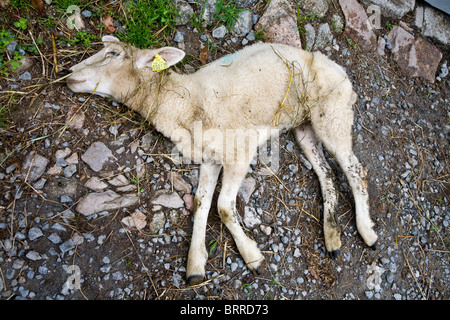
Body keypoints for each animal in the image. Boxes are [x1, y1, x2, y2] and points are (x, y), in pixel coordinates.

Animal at [67, 36, 376, 286]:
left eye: (113, 53)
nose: (69, 74)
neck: (185, 104)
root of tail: (340, 70)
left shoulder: (240, 151)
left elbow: (224, 207)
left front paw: (252, 256)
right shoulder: (211, 158)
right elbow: (201, 203)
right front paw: (195, 266)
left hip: (333, 113)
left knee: (355, 169)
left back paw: (367, 232)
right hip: (305, 126)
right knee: (327, 174)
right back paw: (332, 236)